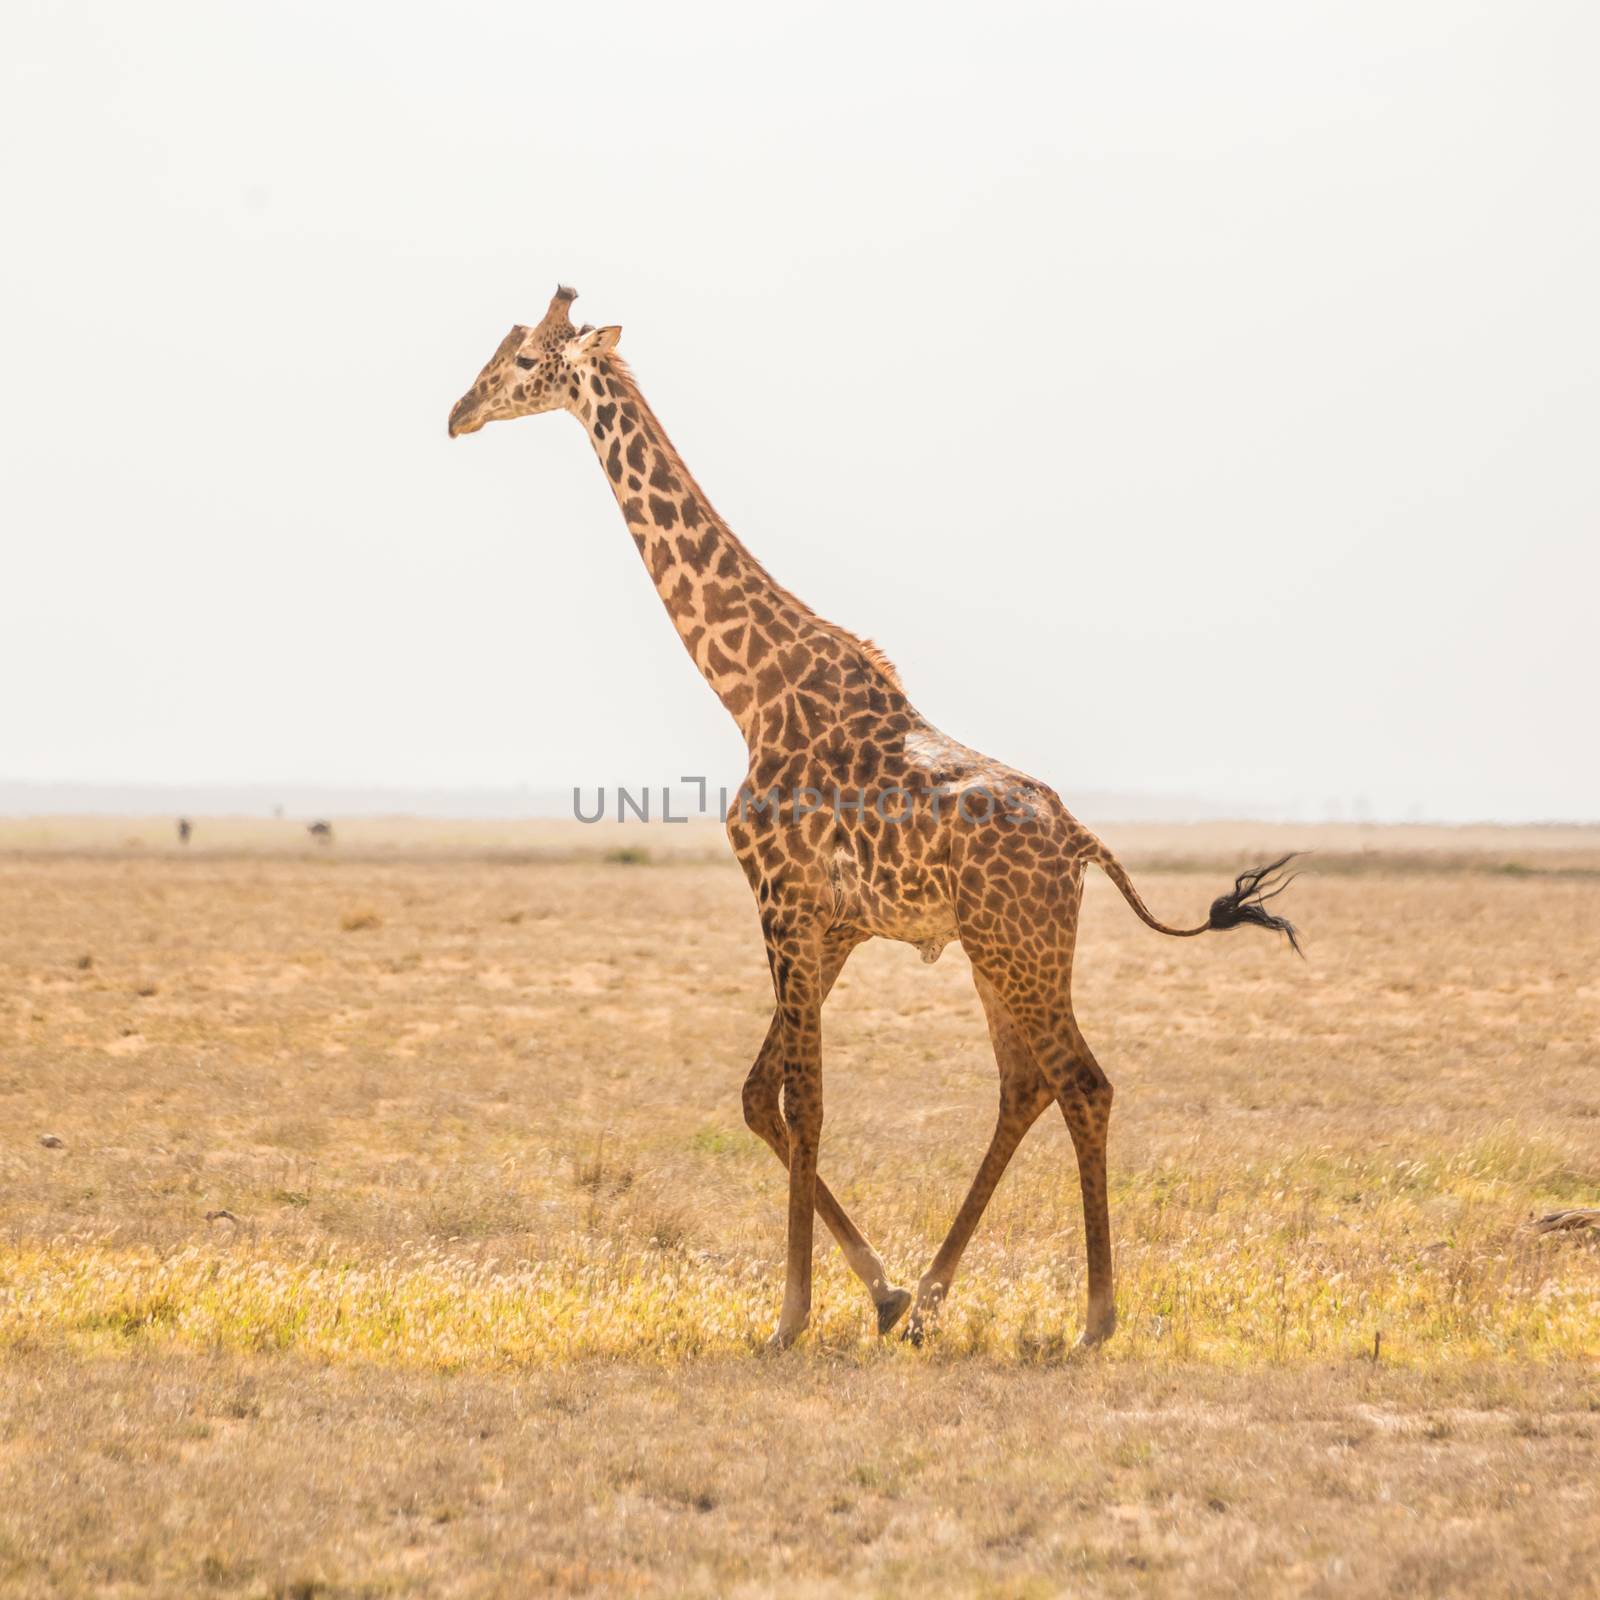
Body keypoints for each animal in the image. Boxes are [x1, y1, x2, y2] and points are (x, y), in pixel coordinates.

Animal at [448, 288, 1299, 1350]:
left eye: (525, 360)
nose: (459, 413)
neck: (752, 692)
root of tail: (1080, 843)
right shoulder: (834, 923)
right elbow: (761, 1096)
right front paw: (881, 1294)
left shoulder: (781, 901)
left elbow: (804, 1101)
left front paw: (791, 1316)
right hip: (998, 951)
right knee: (1026, 1083)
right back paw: (932, 1298)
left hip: (1020, 947)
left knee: (1082, 1081)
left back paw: (1095, 1316)